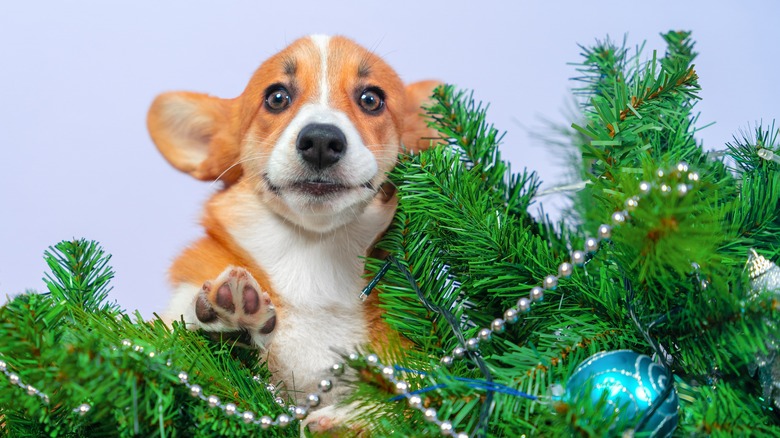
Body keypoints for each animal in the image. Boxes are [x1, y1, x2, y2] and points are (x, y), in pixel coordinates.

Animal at [147, 35, 438, 420]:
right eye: (277, 97)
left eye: (371, 99)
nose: (321, 141)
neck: (312, 256)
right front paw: (227, 315)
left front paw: (344, 420)